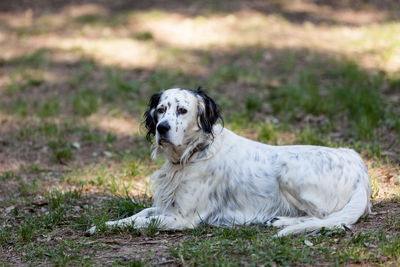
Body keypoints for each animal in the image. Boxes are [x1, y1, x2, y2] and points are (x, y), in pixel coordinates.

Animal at [87, 88, 372, 237]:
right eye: (160, 110)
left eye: (182, 110)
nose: (162, 128)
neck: (193, 154)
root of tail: (360, 169)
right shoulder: (168, 206)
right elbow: (139, 214)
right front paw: (105, 223)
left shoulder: (182, 218)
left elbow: (141, 222)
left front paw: (101, 227)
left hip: (291, 172)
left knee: (324, 216)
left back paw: (282, 223)